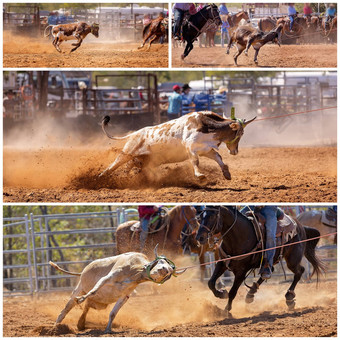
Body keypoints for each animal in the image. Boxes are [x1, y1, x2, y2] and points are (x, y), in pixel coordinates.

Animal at [50, 246, 182, 334]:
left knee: (87, 307)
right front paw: (81, 299)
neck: (135, 271)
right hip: (79, 288)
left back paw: (81, 324)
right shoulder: (106, 278)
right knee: (66, 309)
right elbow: (93, 290)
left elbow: (113, 313)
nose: (164, 270)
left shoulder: (124, 296)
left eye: (170, 272)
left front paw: (108, 329)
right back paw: (55, 327)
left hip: (100, 304)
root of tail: (83, 271)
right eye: (161, 261)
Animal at [99, 111, 256, 181]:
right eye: (240, 133)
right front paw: (200, 175)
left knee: (129, 167)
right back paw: (100, 177)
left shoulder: (206, 149)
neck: (206, 125)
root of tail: (134, 134)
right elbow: (195, 161)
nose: (235, 151)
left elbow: (218, 157)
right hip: (127, 152)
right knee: (114, 165)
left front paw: (226, 173)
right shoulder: (191, 148)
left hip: (142, 159)